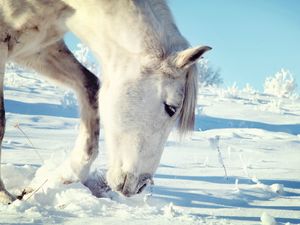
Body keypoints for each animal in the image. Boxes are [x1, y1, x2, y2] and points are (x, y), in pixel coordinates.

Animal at [0, 0, 211, 204]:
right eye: (171, 108)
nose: (141, 185)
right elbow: (1, 124)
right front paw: (6, 197)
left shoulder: (37, 48)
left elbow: (91, 87)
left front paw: (64, 177)